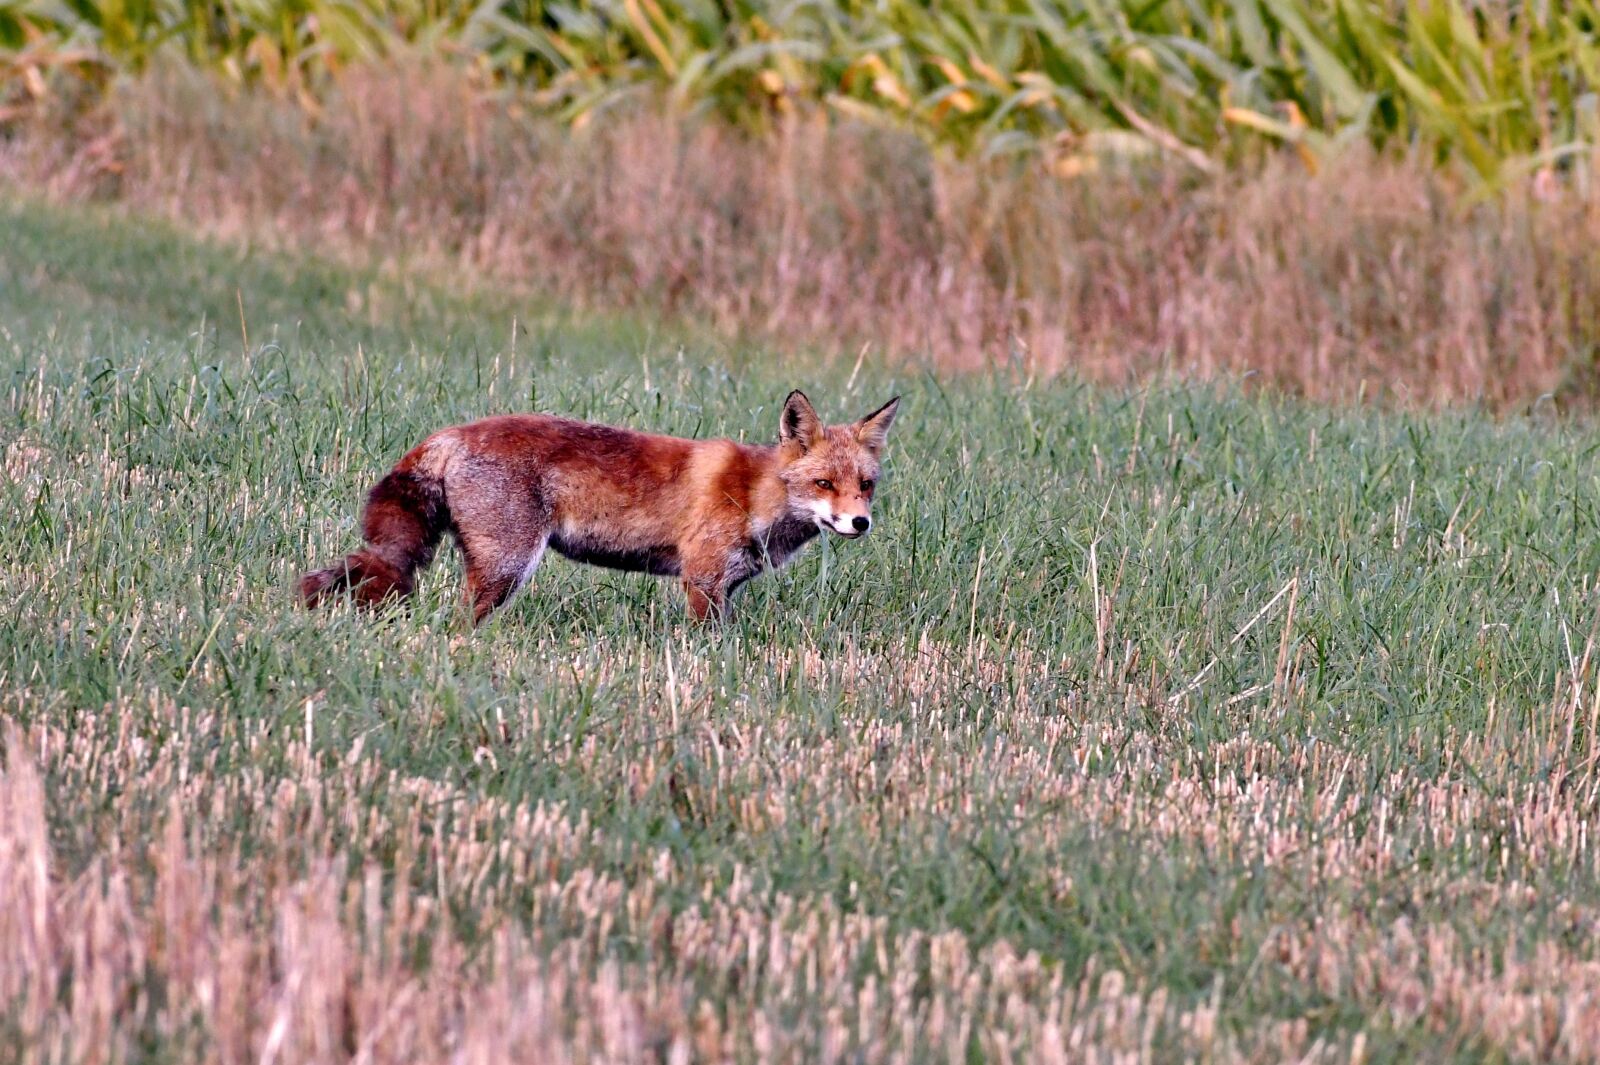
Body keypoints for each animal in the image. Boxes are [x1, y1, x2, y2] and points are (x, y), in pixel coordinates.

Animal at [298, 390, 900, 625]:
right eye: (824, 483)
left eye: (865, 486)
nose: (859, 522)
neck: (755, 493)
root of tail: (452, 433)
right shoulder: (703, 580)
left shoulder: (724, 586)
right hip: (507, 567)